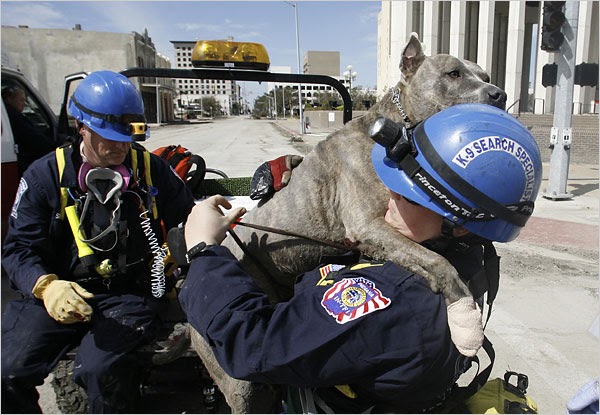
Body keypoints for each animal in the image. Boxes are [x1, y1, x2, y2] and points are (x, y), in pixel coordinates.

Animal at [189, 34, 506, 414]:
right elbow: (438, 261)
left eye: (485, 75)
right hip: (238, 384)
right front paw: (465, 318)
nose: (499, 94)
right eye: (453, 73)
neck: (395, 134)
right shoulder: (369, 225)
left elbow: (432, 257)